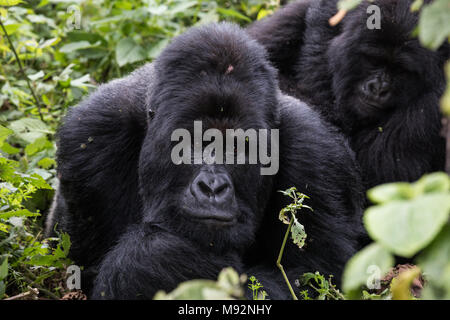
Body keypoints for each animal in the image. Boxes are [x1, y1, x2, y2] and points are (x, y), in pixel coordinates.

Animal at [45, 23, 364, 300]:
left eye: (238, 147)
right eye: (191, 144)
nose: (212, 187)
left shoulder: (314, 151)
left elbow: (313, 276)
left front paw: (150, 262)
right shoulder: (91, 137)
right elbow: (79, 269)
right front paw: (162, 259)